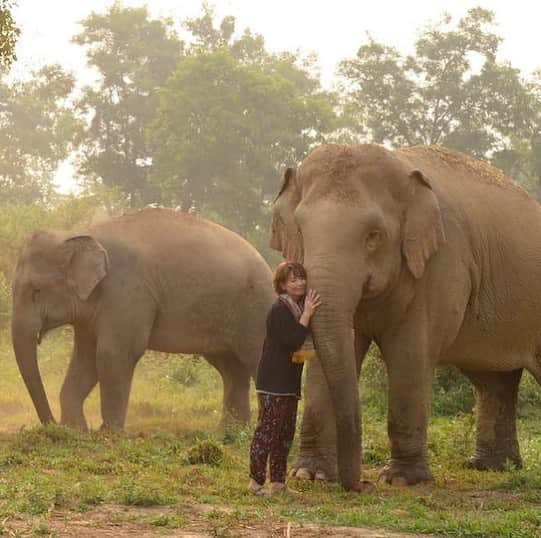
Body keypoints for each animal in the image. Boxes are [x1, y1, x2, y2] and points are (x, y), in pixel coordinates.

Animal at [11, 207, 274, 430]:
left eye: (36, 290)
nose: (51, 425)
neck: (78, 233)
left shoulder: (127, 291)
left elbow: (113, 353)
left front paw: (107, 433)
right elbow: (84, 359)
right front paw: (75, 431)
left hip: (257, 310)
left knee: (254, 360)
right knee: (231, 368)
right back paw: (227, 434)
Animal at [272, 143, 540, 490]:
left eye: (373, 235)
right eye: (302, 231)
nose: (361, 484)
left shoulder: (441, 263)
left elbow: (410, 355)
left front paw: (402, 479)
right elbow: (325, 356)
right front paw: (310, 474)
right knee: (493, 380)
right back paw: (491, 467)